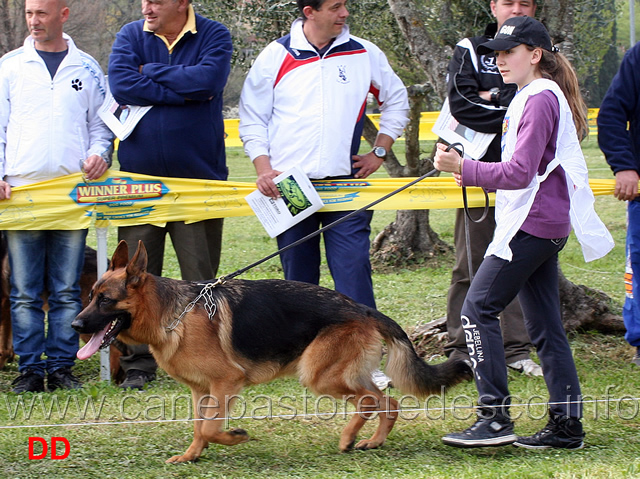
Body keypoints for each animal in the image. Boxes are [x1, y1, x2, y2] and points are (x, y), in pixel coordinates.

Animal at [72, 242, 470, 464]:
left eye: (105, 300)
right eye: (90, 295)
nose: (75, 325)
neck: (173, 314)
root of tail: (363, 309)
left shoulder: (226, 382)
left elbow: (212, 427)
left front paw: (235, 437)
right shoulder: (202, 391)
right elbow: (200, 427)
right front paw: (192, 456)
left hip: (318, 374)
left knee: (372, 401)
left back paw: (348, 438)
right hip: (339, 374)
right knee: (389, 402)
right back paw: (372, 441)